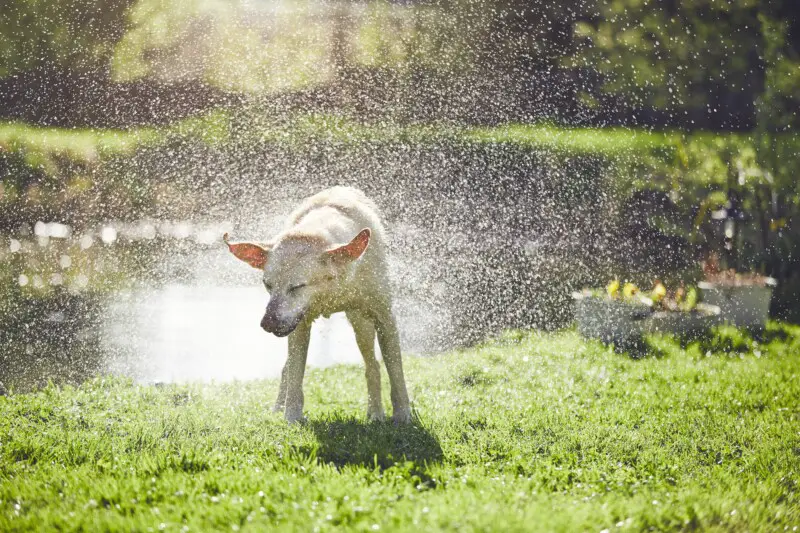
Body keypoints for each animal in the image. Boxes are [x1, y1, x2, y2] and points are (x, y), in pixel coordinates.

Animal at [225, 187, 412, 424]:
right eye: (267, 284)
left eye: (297, 286)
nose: (267, 323)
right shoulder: (298, 324)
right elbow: (295, 374)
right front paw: (291, 417)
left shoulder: (384, 317)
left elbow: (396, 371)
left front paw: (403, 415)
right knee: (288, 369)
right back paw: (278, 407)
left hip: (361, 323)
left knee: (373, 365)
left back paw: (376, 413)